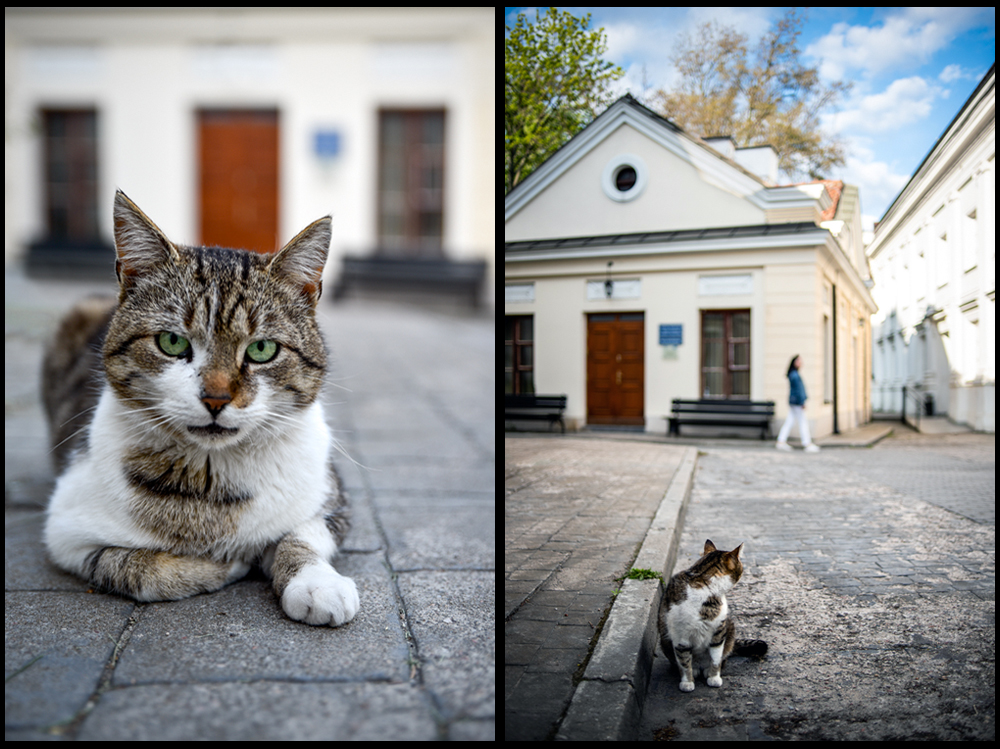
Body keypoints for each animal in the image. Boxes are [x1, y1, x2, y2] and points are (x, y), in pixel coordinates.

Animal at [41, 191, 360, 624]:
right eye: (172, 342)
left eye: (262, 349)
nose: (216, 398)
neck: (212, 478)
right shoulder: (64, 531)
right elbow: (136, 568)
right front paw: (226, 565)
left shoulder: (333, 500)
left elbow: (301, 534)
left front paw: (315, 582)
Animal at [656, 536, 764, 688]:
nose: (744, 570)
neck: (704, 583)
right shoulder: (680, 635)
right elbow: (684, 662)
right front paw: (687, 682)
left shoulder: (719, 631)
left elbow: (716, 658)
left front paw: (714, 678)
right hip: (665, 641)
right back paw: (695, 670)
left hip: (730, 628)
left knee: (723, 657)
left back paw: (706, 670)